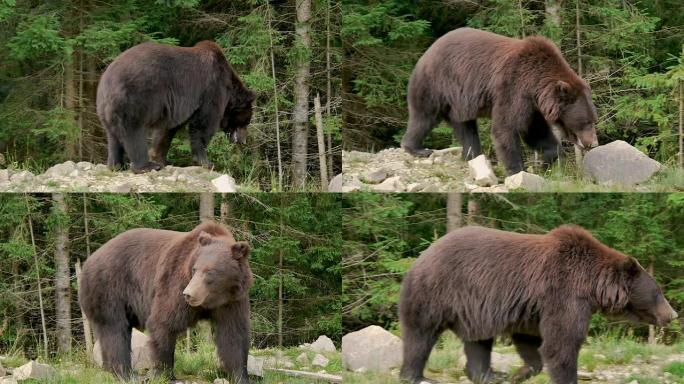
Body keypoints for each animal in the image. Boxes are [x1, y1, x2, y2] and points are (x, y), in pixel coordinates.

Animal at [78, 220, 254, 382]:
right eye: (195, 269)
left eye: (210, 272)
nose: (189, 294)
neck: (215, 298)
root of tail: (89, 259)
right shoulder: (175, 285)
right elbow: (163, 322)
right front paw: (166, 375)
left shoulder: (233, 300)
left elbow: (234, 335)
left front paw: (241, 376)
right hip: (108, 288)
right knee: (115, 330)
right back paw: (125, 374)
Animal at [96, 41, 256, 173]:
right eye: (247, 121)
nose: (244, 141)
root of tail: (107, 80)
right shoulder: (212, 90)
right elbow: (203, 124)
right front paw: (206, 162)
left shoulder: (176, 108)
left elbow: (167, 130)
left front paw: (160, 157)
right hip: (134, 99)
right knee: (133, 133)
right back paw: (145, 166)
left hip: (106, 109)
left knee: (113, 136)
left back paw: (116, 165)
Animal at [400, 27, 600, 176]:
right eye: (586, 122)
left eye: (593, 120)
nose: (593, 143)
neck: (535, 84)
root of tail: (428, 50)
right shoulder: (513, 88)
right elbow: (506, 128)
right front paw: (516, 169)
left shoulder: (531, 106)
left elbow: (536, 131)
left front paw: (546, 160)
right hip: (436, 83)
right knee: (424, 115)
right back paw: (417, 148)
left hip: (459, 103)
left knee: (465, 127)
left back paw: (472, 155)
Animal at [400, 225, 680, 384]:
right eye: (658, 292)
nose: (673, 314)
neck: (592, 284)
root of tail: (420, 257)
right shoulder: (564, 293)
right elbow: (562, 342)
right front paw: (565, 377)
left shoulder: (533, 308)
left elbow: (532, 341)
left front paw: (519, 373)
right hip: (436, 292)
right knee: (420, 335)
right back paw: (417, 376)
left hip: (473, 309)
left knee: (478, 341)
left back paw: (490, 375)